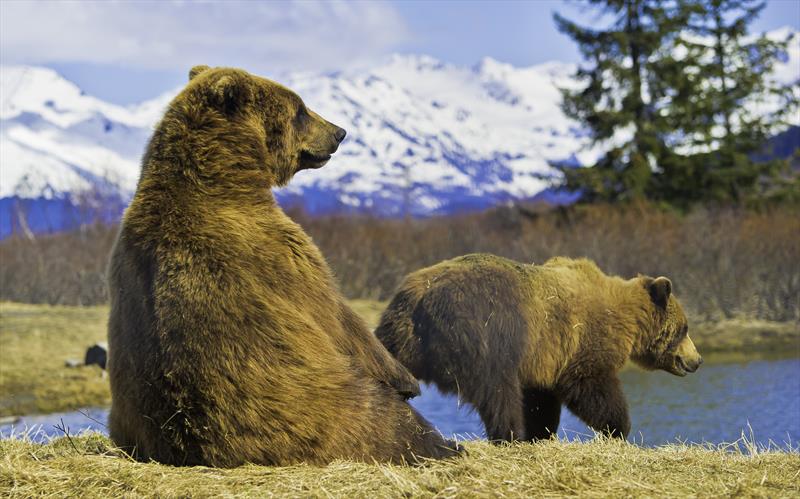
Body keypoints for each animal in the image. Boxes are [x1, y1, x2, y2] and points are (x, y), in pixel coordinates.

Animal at [106, 64, 460, 466]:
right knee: (391, 422)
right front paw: (408, 380)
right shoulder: (279, 251)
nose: (339, 132)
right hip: (321, 409)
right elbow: (335, 316)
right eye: (301, 109)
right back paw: (445, 443)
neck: (227, 175)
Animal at [376, 256, 700, 444]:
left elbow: (540, 400)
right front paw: (618, 427)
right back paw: (509, 435)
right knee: (499, 393)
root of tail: (421, 295)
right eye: (685, 328)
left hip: (400, 333)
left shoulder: (544, 355)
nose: (696, 360)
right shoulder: (580, 342)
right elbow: (592, 386)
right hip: (483, 335)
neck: (628, 320)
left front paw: (541, 433)